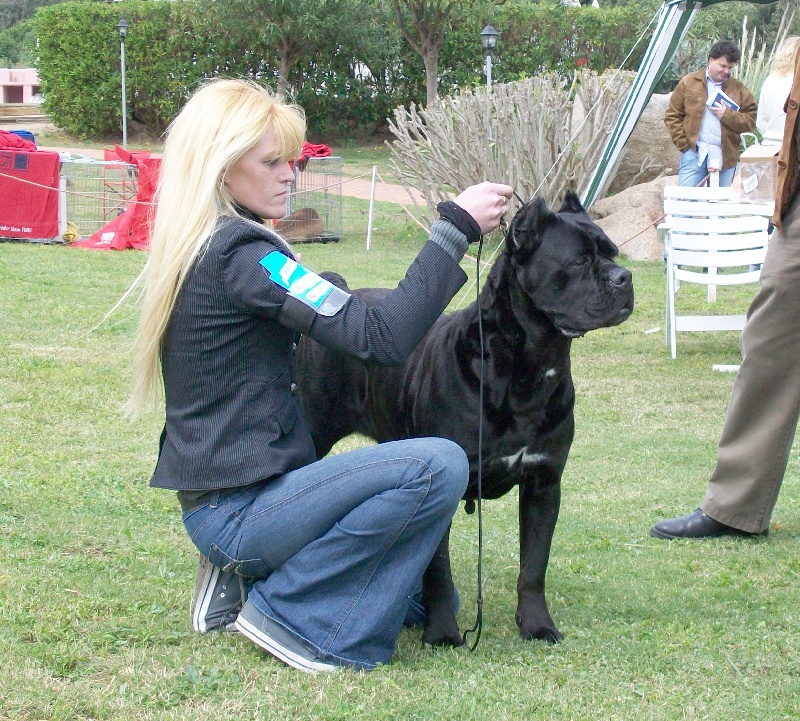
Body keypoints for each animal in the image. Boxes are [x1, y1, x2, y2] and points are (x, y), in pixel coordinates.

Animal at [296, 191, 636, 648]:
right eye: (580, 260)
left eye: (612, 252)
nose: (624, 277)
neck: (529, 366)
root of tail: (342, 291)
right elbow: (438, 568)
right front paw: (442, 633)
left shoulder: (544, 483)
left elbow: (534, 565)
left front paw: (537, 625)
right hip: (313, 432)